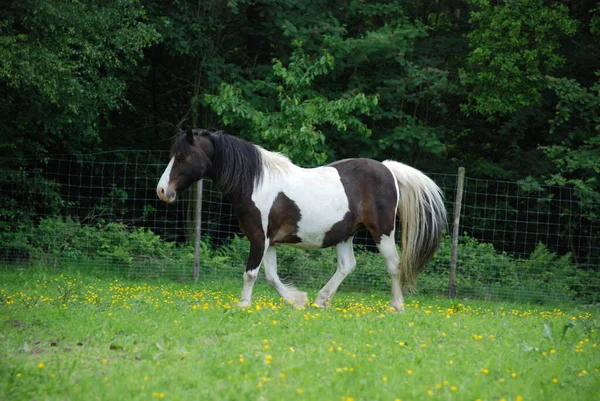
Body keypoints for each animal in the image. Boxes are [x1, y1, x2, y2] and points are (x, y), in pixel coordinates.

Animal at [157, 126, 448, 310]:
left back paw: (396, 306)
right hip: (344, 234)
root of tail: (388, 168)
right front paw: (297, 299)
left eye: (183, 156)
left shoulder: (258, 238)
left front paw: (243, 305)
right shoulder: (268, 242)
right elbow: (271, 277)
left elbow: (251, 274)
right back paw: (321, 300)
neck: (256, 182)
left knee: (393, 264)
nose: (162, 191)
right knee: (347, 265)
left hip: (382, 231)